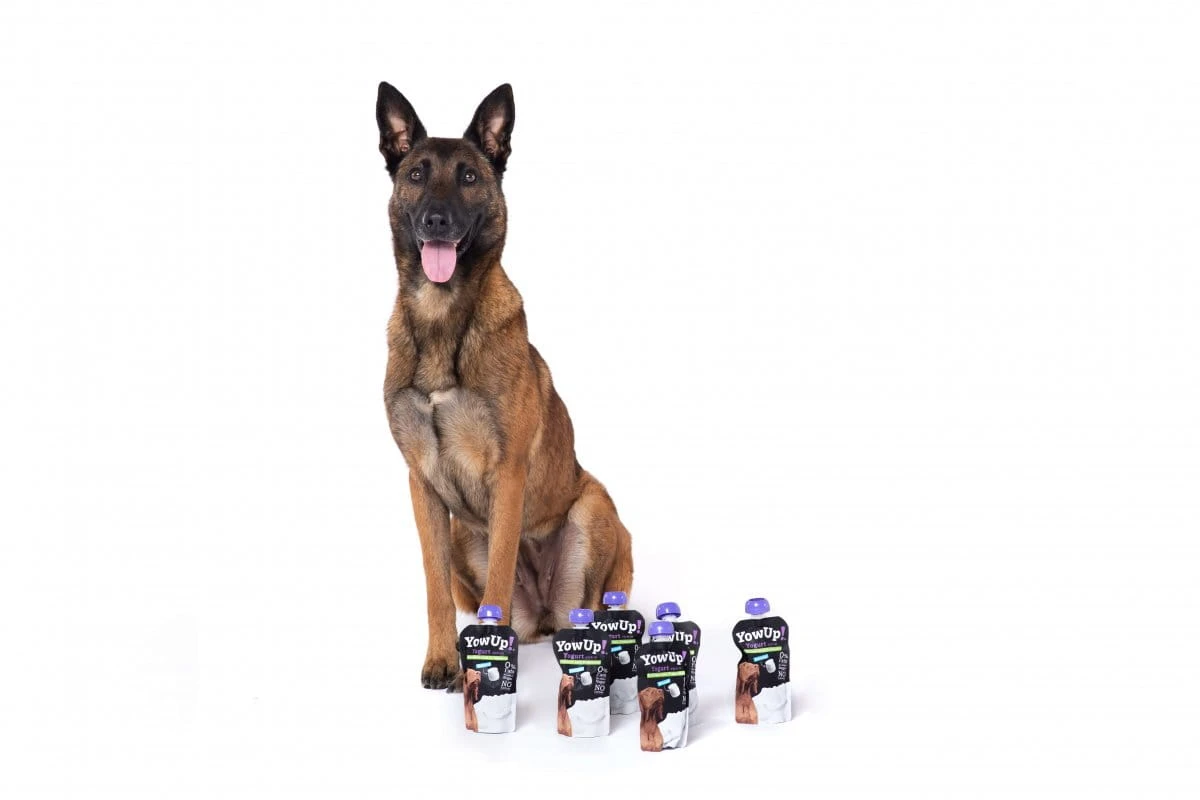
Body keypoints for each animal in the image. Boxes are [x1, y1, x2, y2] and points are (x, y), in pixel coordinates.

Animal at [376, 83, 636, 689]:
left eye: (470, 176)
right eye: (417, 174)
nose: (437, 221)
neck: (443, 319)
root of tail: (542, 616)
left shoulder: (508, 473)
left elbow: (498, 571)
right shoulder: (422, 485)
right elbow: (434, 590)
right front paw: (442, 659)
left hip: (594, 507)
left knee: (591, 605)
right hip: (463, 538)